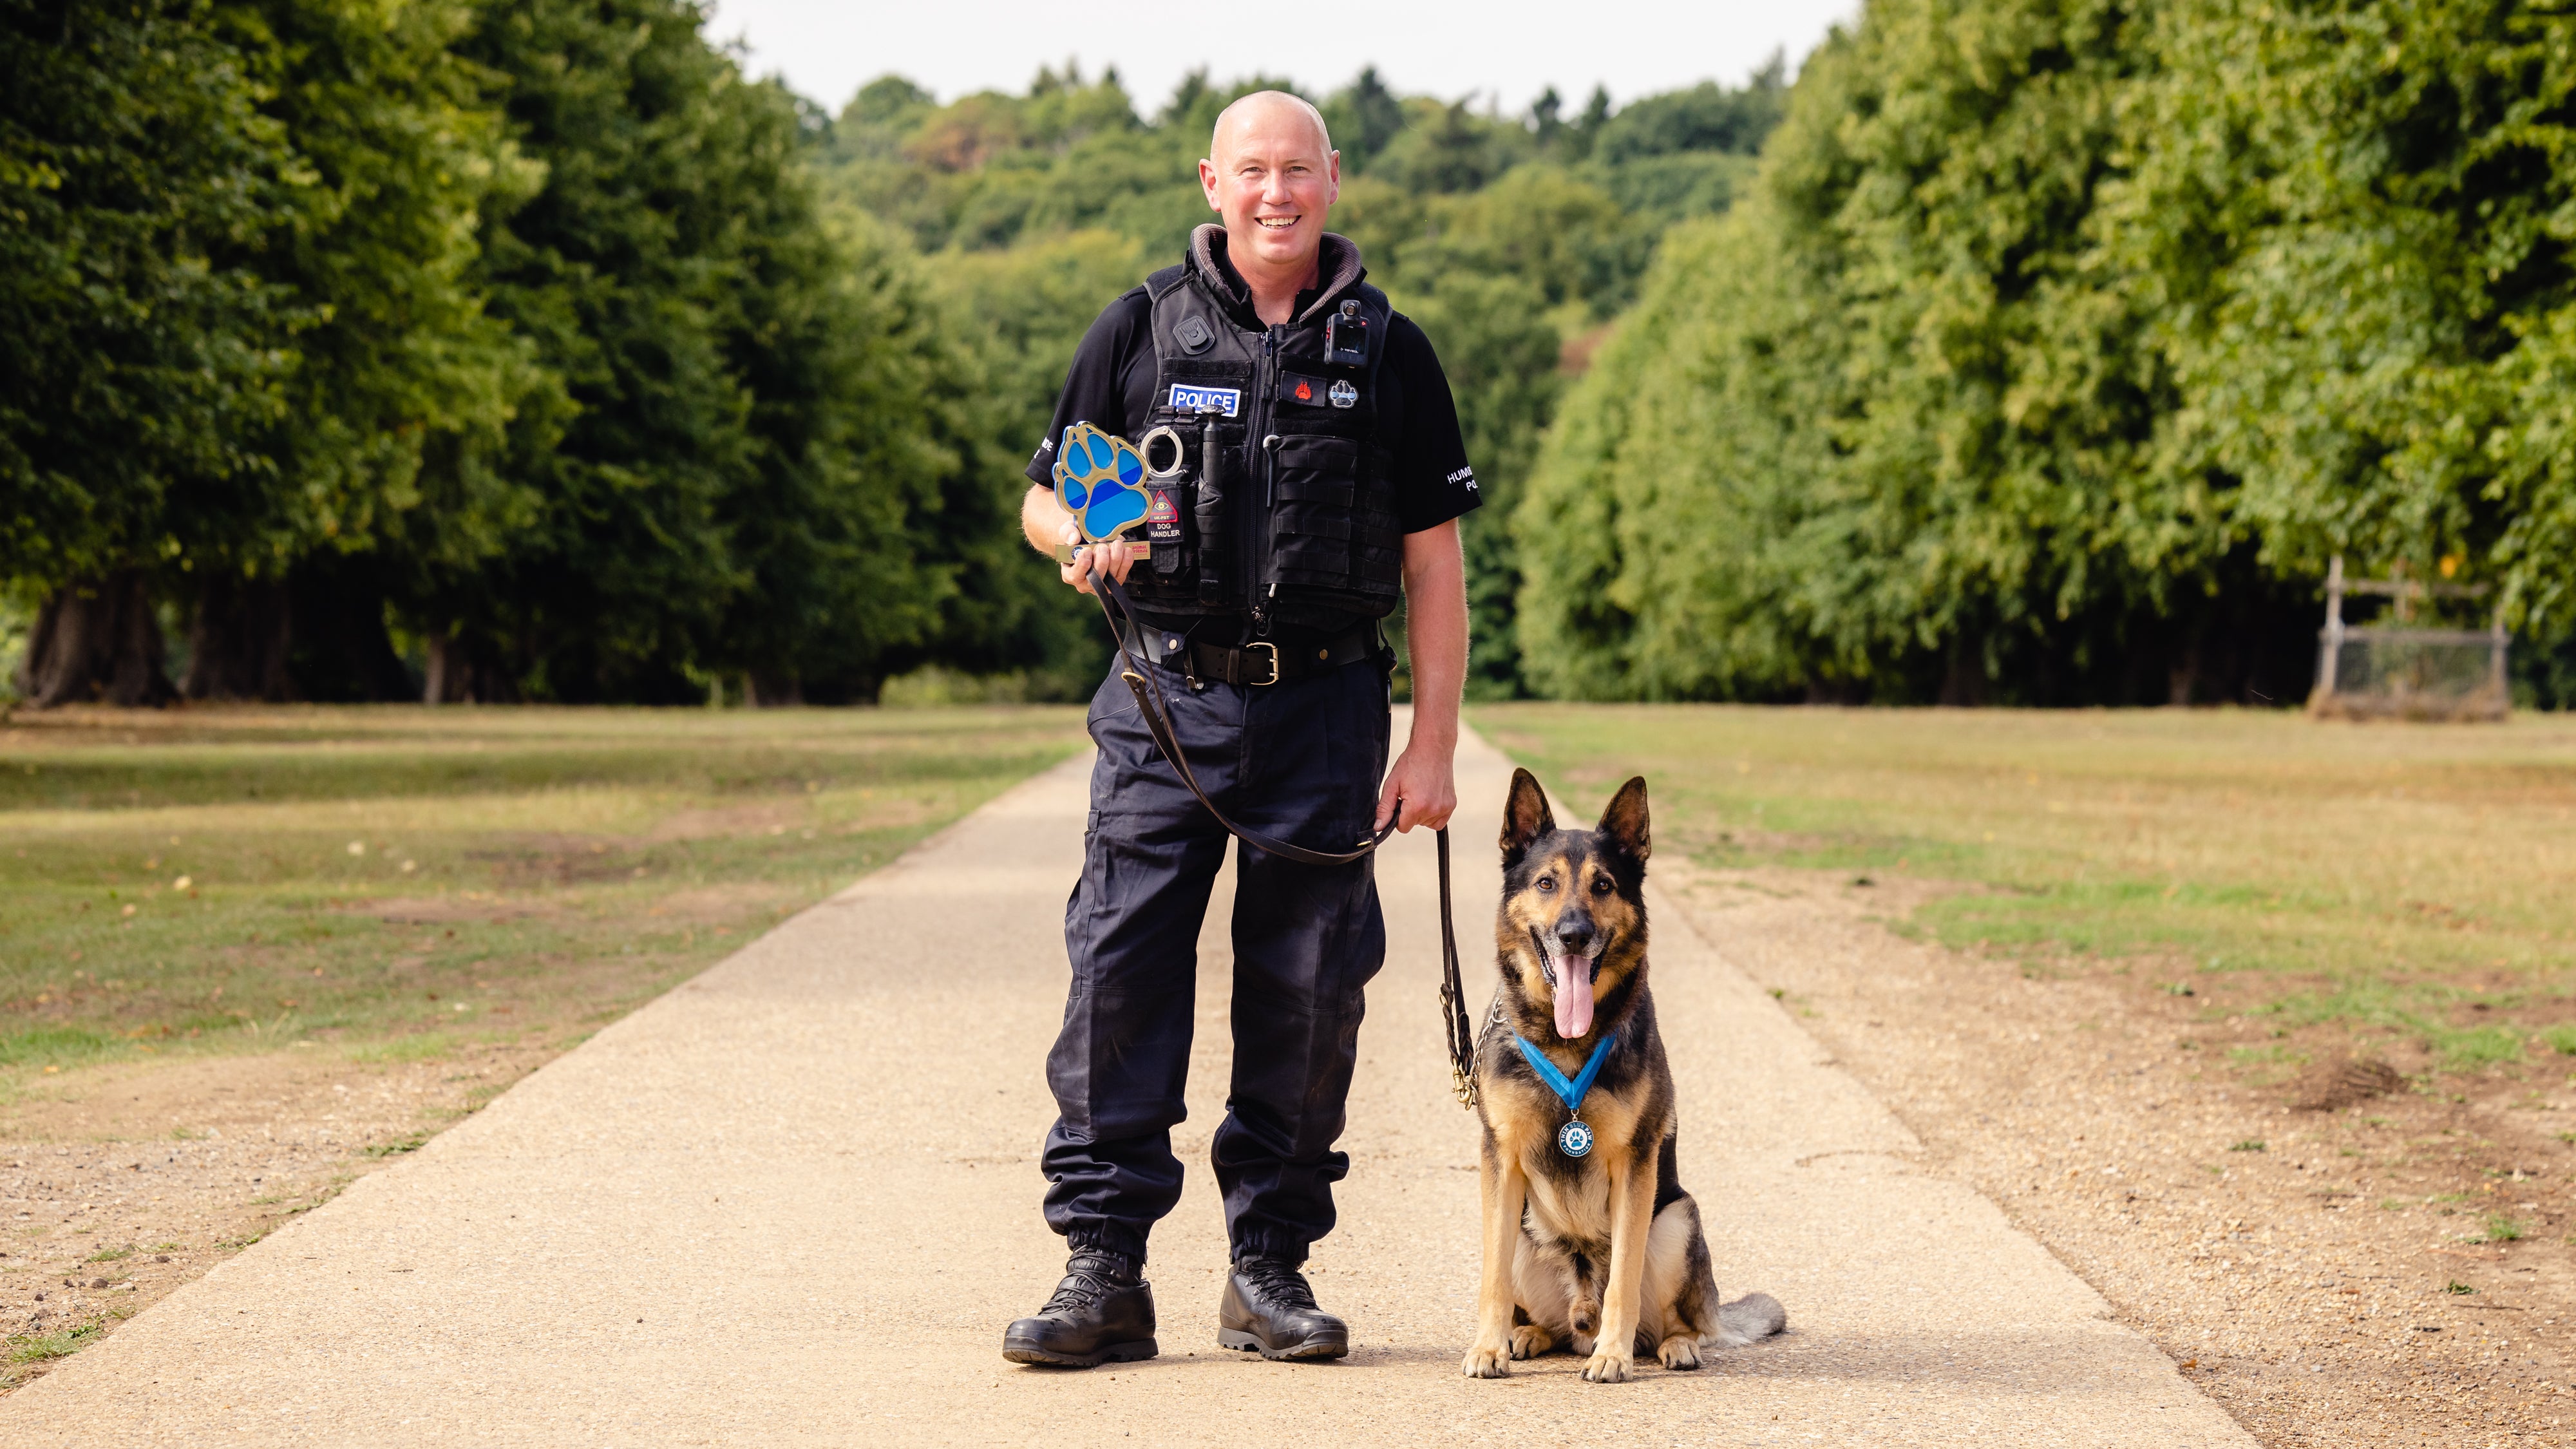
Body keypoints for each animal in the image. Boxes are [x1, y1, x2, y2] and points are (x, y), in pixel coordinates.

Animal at [1463, 773, 1783, 1381]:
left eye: (1604, 885)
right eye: (1546, 883)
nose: (1573, 934)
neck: (1566, 1044)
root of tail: (1578, 1317)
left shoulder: (1636, 1165)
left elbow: (1624, 1281)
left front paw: (1614, 1354)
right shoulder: (1500, 1162)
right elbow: (1491, 1279)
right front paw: (1489, 1347)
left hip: (1678, 1219)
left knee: (1671, 1321)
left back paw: (1671, 1346)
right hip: (1523, 1230)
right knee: (1547, 1320)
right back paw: (1527, 1335)